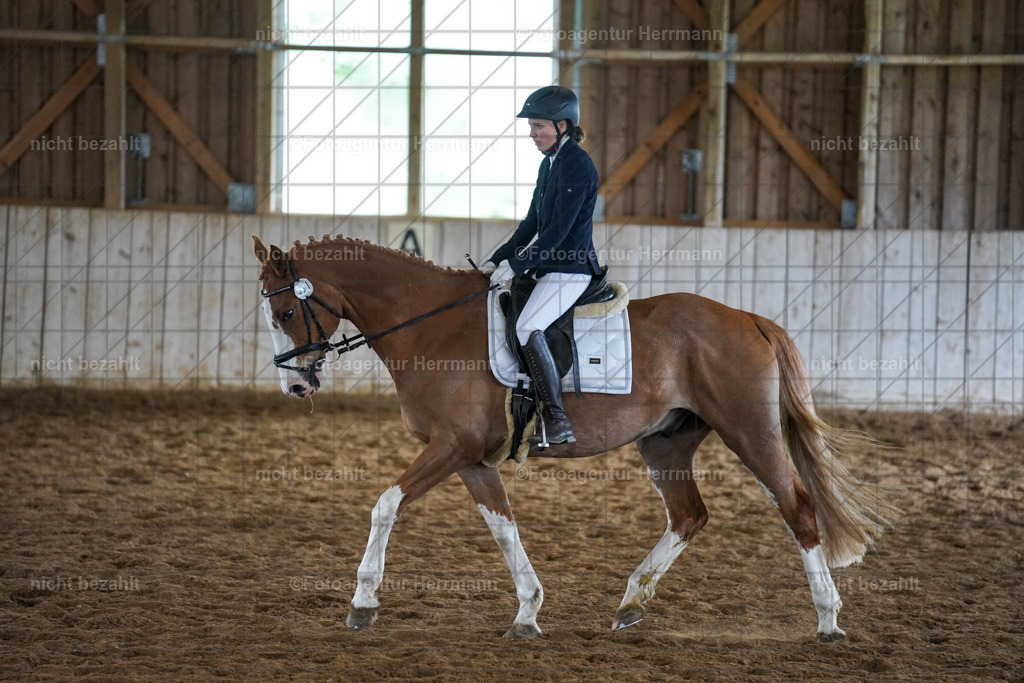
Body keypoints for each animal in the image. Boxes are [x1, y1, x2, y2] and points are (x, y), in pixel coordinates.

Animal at [252, 234, 899, 642]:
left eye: (284, 314)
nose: (295, 387)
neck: (431, 327)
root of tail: (750, 319)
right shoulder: (470, 458)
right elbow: (503, 527)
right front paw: (528, 612)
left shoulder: (450, 447)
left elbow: (385, 505)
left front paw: (362, 604)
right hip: (665, 443)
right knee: (688, 515)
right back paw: (631, 604)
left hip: (750, 431)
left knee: (798, 508)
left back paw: (827, 621)